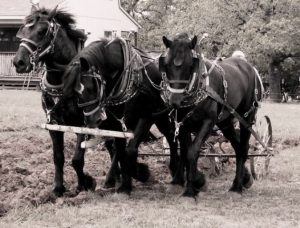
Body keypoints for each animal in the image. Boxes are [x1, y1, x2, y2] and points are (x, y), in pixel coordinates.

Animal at [12, 7, 101, 196]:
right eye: (22, 30)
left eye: (41, 31)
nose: (18, 62)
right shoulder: (54, 124)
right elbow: (58, 157)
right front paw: (58, 188)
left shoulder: (83, 124)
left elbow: (77, 159)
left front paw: (85, 184)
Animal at [63, 37, 180, 194]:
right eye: (76, 92)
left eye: (91, 87)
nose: (94, 120)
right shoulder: (114, 123)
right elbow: (114, 151)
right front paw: (87, 184)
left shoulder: (146, 117)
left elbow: (129, 151)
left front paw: (139, 175)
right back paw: (111, 180)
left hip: (162, 116)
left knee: (171, 137)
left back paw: (176, 172)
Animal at [161, 33, 262, 198]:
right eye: (167, 65)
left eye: (190, 65)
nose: (174, 101)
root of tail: (248, 66)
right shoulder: (182, 124)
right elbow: (185, 152)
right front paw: (187, 184)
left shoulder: (208, 122)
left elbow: (192, 151)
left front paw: (193, 186)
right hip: (225, 122)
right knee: (237, 146)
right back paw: (239, 182)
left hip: (246, 117)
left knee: (244, 146)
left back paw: (238, 187)